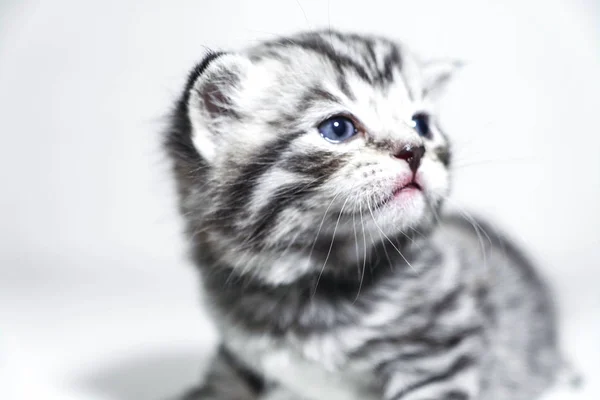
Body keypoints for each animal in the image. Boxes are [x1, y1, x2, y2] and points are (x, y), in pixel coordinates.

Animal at [166, 31, 564, 400]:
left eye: (421, 125)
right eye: (338, 128)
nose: (414, 150)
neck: (309, 287)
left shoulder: (436, 352)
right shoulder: (238, 357)